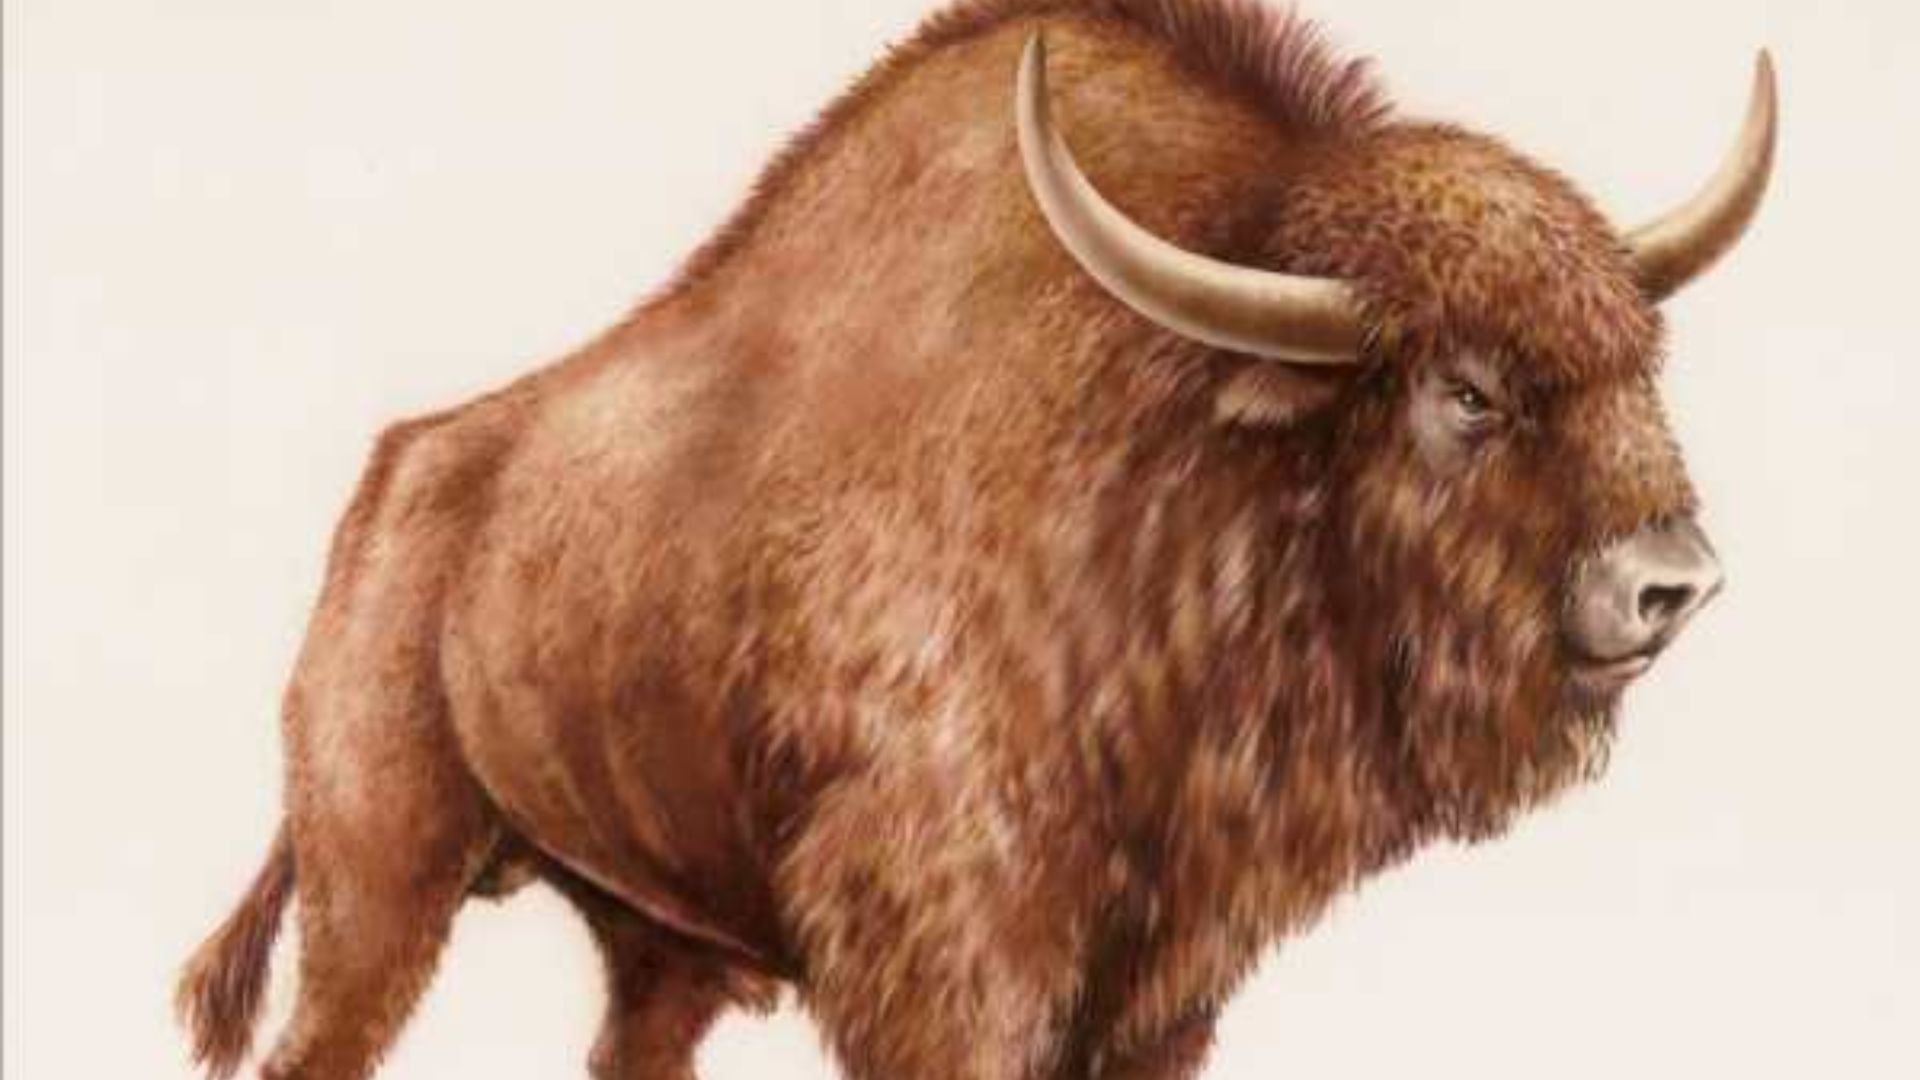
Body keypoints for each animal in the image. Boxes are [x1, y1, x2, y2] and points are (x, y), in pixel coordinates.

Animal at [177, 1, 1774, 1078]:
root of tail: (395, 485)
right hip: (379, 886)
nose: (1672, 584)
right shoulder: (948, 970)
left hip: (648, 945)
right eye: (1468, 392)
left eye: (1641, 359)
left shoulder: (1166, 989)